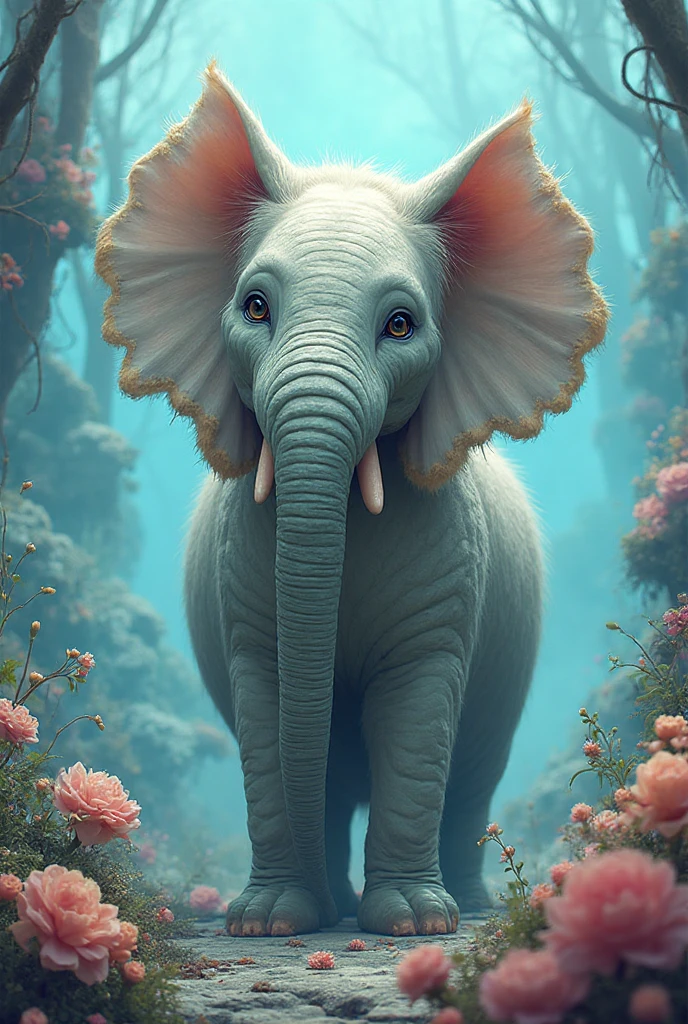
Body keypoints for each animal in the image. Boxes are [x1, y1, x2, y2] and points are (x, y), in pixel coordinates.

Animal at [95, 62, 608, 937]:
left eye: (400, 325)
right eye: (255, 307)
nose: (331, 913)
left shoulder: (451, 572)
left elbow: (416, 709)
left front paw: (412, 924)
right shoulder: (240, 573)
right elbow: (269, 708)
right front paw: (269, 923)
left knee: (470, 780)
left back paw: (466, 906)